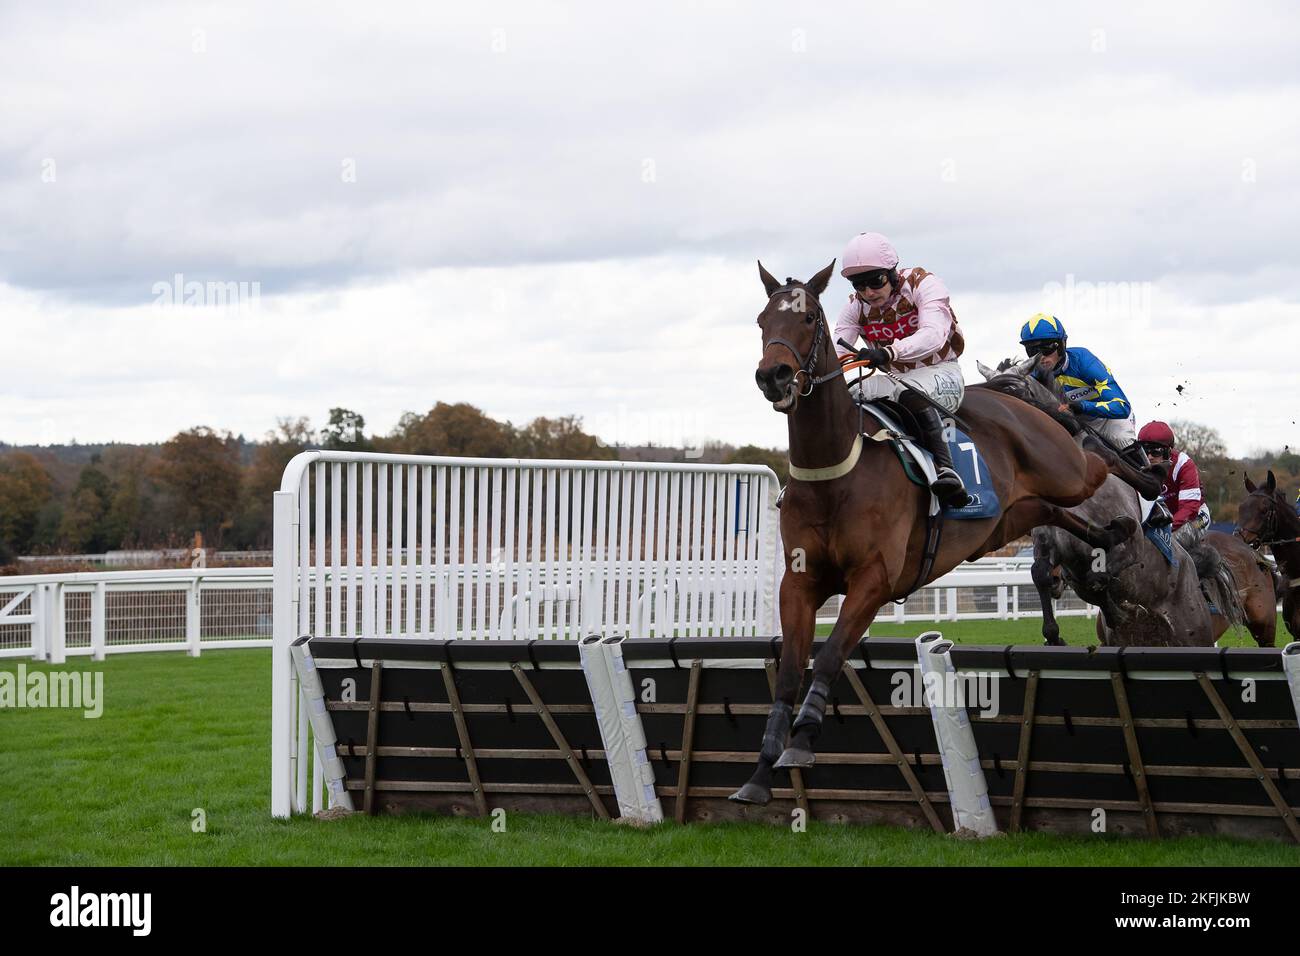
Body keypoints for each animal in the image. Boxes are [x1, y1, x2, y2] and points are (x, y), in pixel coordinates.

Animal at [738, 257, 1175, 806]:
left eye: (810, 318)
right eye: (761, 321)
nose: (772, 376)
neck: (836, 470)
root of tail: (1016, 400)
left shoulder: (873, 580)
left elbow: (833, 652)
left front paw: (801, 742)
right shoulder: (798, 582)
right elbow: (790, 670)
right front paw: (760, 771)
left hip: (1066, 470)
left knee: (1097, 454)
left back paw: (1145, 480)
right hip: (1011, 516)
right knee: (1060, 518)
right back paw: (1112, 539)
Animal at [977, 356, 1242, 647]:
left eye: (1013, 391)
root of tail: (1193, 568)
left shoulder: (1131, 545)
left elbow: (1099, 575)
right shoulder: (1049, 543)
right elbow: (1041, 573)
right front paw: (1055, 636)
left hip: (1194, 633)